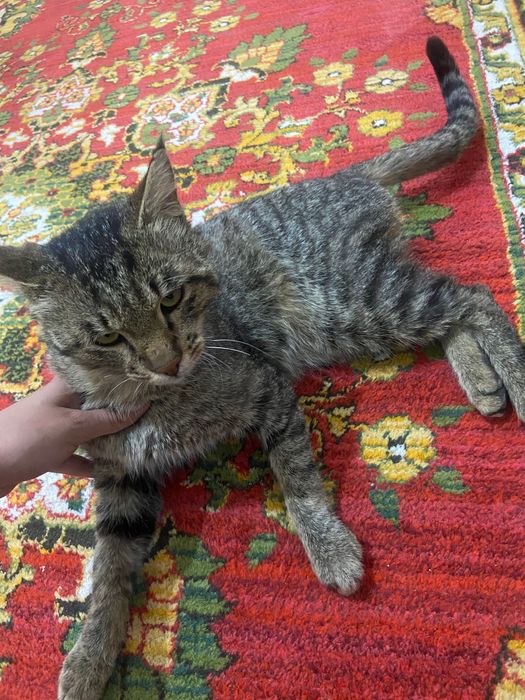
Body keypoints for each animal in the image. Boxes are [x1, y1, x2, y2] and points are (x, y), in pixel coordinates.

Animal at [0, 37, 524, 700]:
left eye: (171, 299)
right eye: (108, 337)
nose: (168, 361)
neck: (163, 403)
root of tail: (343, 177)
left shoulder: (266, 388)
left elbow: (295, 476)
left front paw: (329, 546)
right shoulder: (120, 474)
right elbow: (108, 568)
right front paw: (90, 654)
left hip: (352, 301)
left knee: (473, 297)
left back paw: (516, 378)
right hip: (367, 312)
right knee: (452, 313)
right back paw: (482, 381)